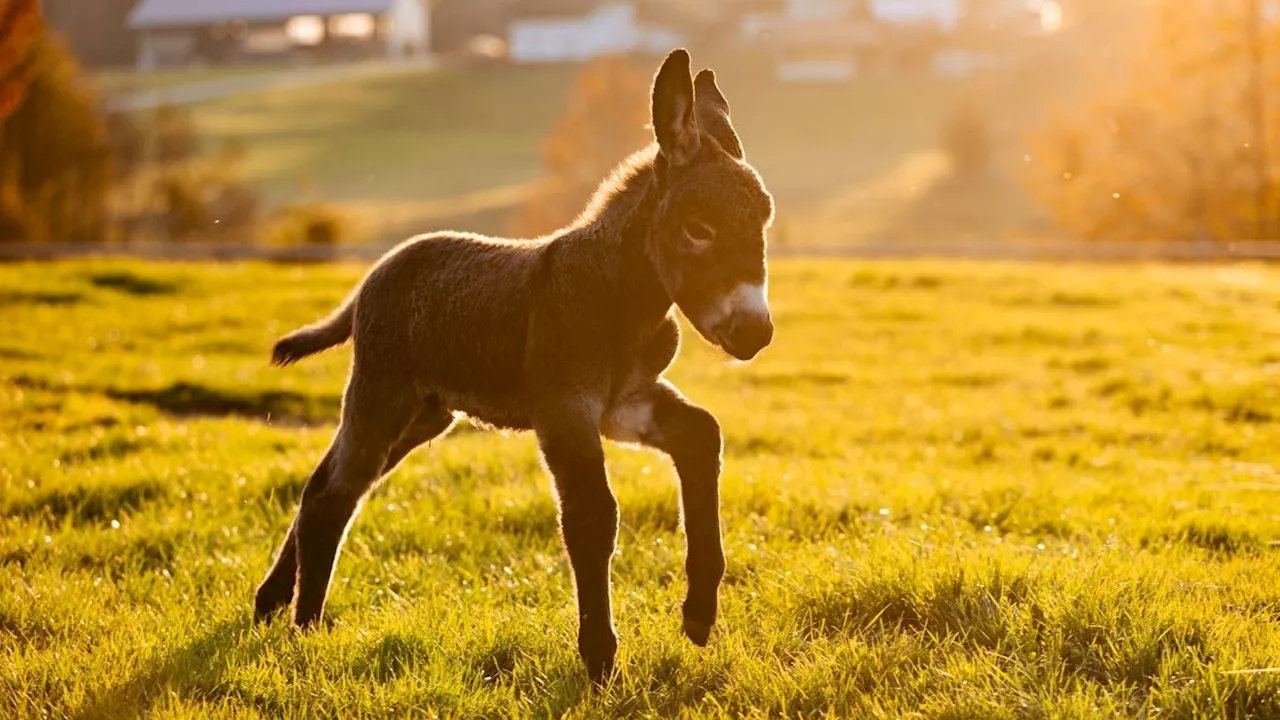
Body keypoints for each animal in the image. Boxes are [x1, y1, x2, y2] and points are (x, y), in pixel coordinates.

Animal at [249, 49, 768, 676]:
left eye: (763, 224)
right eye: (699, 230)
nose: (756, 333)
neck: (619, 292)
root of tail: (379, 270)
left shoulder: (626, 402)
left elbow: (702, 435)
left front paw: (699, 613)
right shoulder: (565, 408)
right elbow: (593, 515)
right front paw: (600, 660)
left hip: (425, 414)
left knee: (325, 483)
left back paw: (273, 602)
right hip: (383, 394)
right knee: (334, 494)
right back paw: (304, 626)